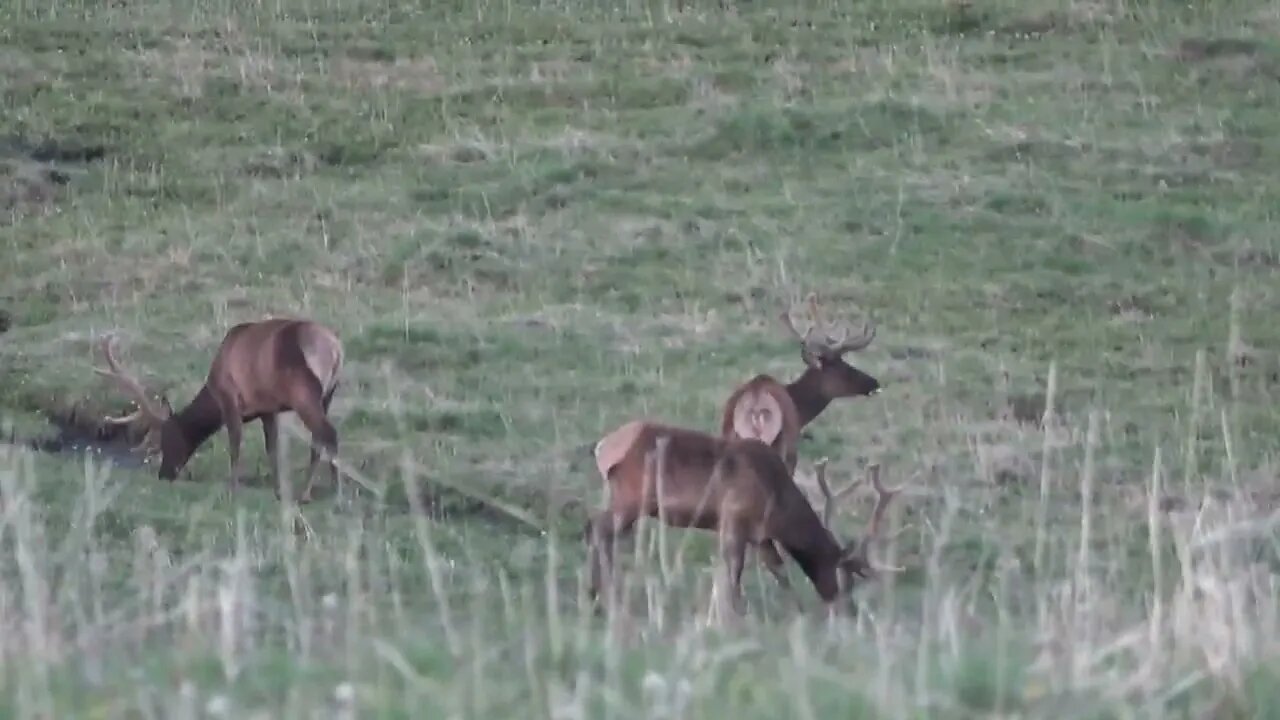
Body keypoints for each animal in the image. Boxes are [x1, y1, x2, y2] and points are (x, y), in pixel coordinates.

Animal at [93, 316, 345, 502]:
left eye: (166, 439)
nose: (163, 474)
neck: (213, 392)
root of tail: (335, 347)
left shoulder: (230, 400)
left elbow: (235, 445)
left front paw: (233, 489)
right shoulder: (267, 409)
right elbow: (272, 448)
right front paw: (277, 491)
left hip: (304, 393)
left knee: (328, 433)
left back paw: (322, 493)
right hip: (328, 395)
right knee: (320, 438)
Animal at [588, 420, 901, 609]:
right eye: (845, 578)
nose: (847, 610)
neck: (777, 501)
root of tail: (602, 448)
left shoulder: (760, 535)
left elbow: (779, 570)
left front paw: (797, 611)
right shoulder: (733, 519)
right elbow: (734, 570)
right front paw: (735, 615)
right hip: (631, 499)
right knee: (599, 528)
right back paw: (605, 593)